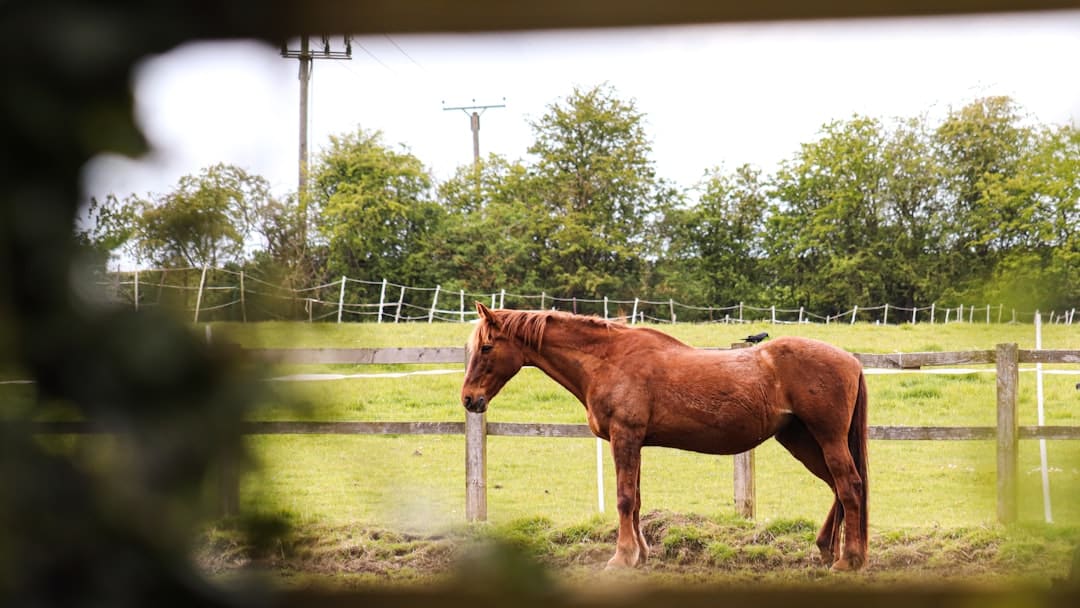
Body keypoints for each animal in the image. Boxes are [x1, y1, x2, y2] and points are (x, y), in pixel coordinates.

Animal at [460, 302, 869, 571]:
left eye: (486, 346)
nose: (468, 399)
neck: (608, 360)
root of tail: (851, 360)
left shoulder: (625, 437)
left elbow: (624, 498)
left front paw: (621, 557)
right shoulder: (633, 442)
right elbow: (637, 500)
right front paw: (640, 554)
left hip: (827, 438)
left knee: (849, 486)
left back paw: (848, 560)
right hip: (801, 440)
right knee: (839, 488)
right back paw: (829, 550)